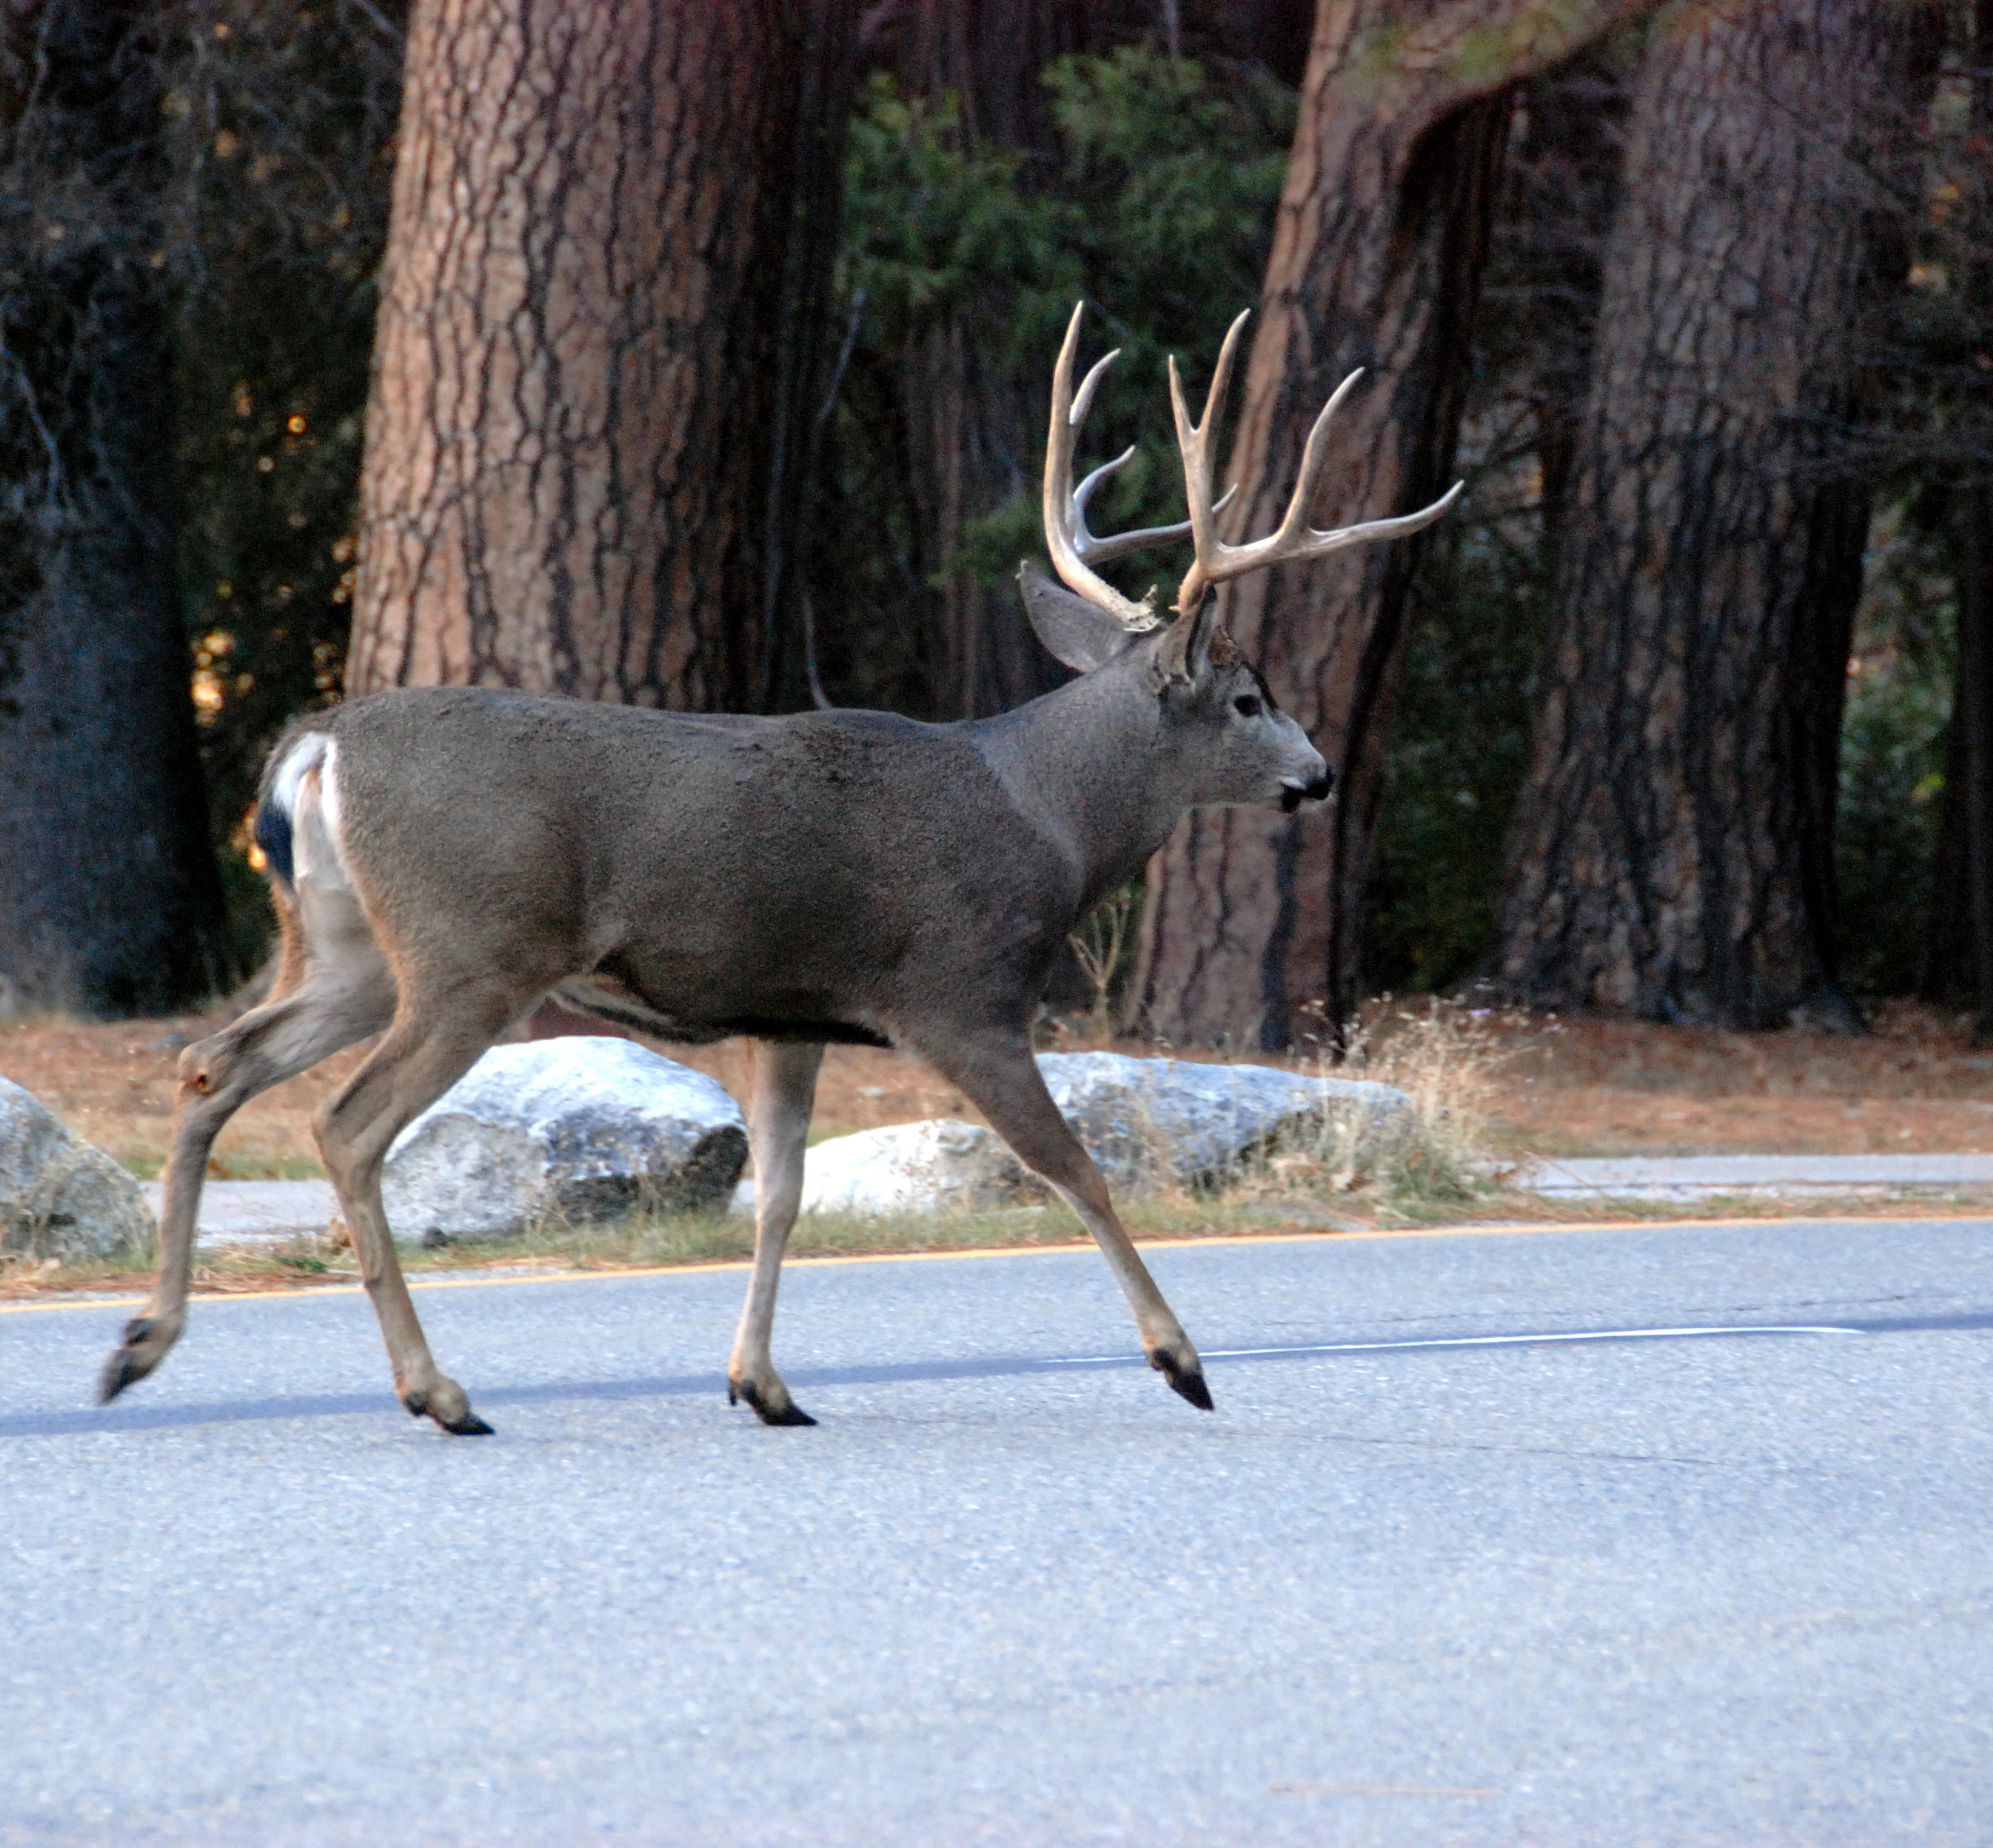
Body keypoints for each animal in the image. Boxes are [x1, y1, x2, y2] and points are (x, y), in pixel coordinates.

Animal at [99, 304, 1460, 1436]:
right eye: (1248, 699)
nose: (1319, 774)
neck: (1050, 817)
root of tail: (317, 745)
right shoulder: (960, 993)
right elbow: (1071, 1165)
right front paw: (1181, 1361)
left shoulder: (789, 1010)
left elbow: (781, 1190)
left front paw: (762, 1384)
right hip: (469, 951)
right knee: (343, 1125)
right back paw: (436, 1393)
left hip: (348, 945)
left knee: (213, 1060)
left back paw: (142, 1343)